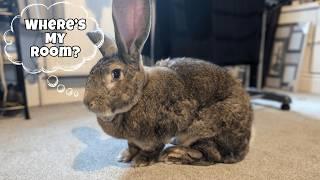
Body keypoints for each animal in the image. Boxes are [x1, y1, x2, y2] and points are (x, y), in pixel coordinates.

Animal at [84, 0, 254, 167]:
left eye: (116, 73)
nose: (87, 103)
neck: (141, 93)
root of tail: (243, 148)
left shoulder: (161, 130)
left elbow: (152, 148)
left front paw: (141, 161)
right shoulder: (133, 140)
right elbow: (131, 146)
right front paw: (125, 156)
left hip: (205, 127)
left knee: (210, 155)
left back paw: (175, 154)